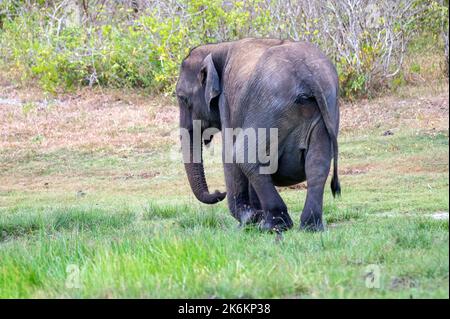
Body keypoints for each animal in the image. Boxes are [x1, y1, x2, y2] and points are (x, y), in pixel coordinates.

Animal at [174, 38, 340, 232]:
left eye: (182, 98)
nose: (218, 192)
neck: (218, 48)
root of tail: (306, 74)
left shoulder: (226, 102)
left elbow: (229, 154)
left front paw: (249, 220)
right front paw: (254, 218)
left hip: (268, 109)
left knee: (245, 156)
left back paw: (272, 226)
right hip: (327, 106)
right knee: (317, 163)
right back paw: (309, 227)